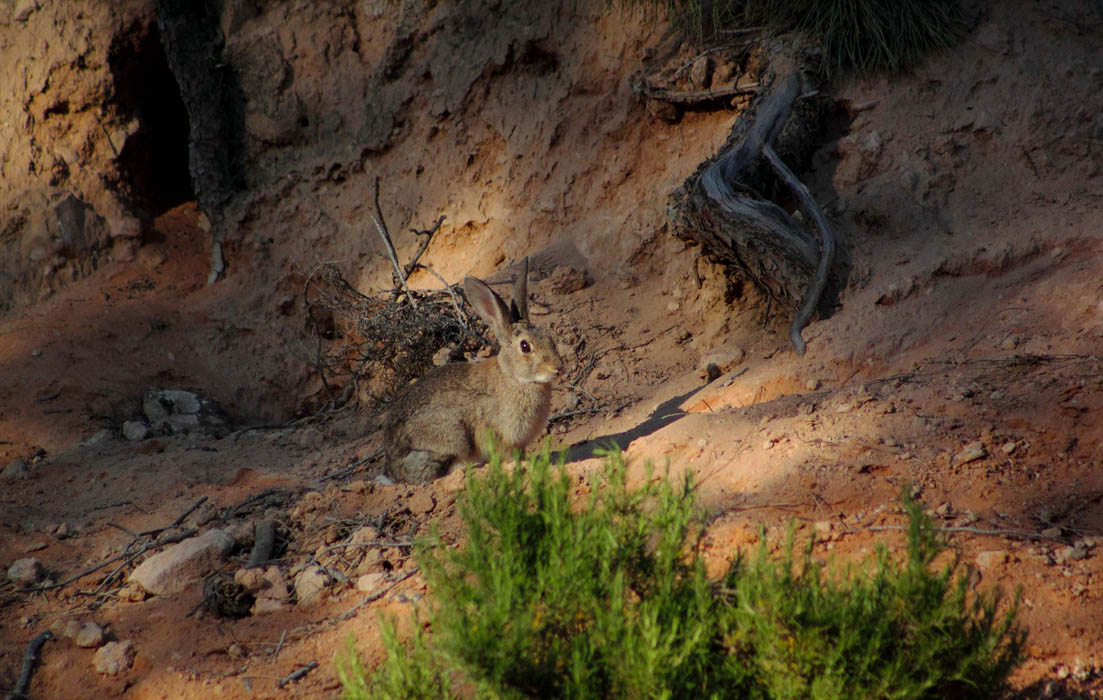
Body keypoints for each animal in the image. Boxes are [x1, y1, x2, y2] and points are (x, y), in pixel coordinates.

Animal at [386, 260, 564, 485]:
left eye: (548, 337)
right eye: (525, 346)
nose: (558, 368)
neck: (514, 378)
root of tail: (392, 471)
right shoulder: (498, 433)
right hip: (453, 436)